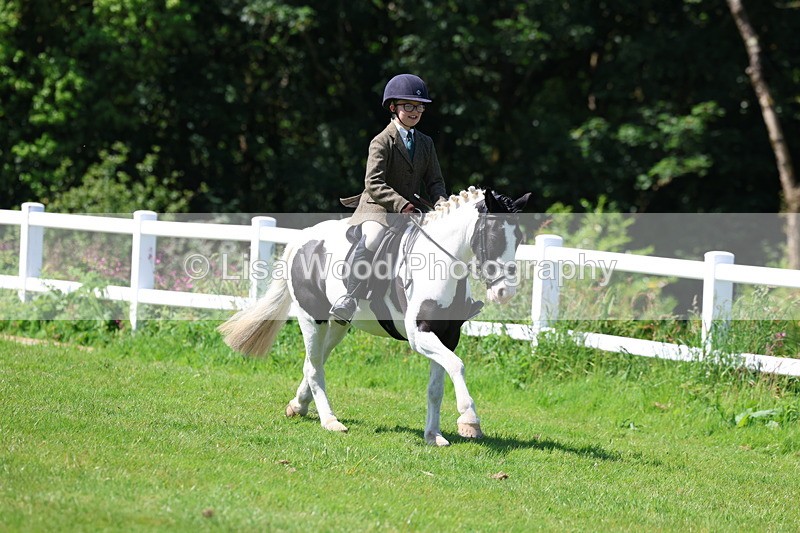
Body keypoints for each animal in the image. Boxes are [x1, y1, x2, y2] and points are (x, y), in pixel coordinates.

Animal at [219, 186, 531, 446]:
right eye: (494, 235)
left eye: (519, 239)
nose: (505, 292)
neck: (441, 264)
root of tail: (303, 239)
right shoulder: (420, 335)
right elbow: (457, 366)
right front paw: (469, 421)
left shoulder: (446, 336)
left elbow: (436, 386)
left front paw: (433, 435)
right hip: (311, 318)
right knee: (315, 368)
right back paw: (330, 421)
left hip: (339, 324)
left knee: (313, 362)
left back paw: (298, 406)